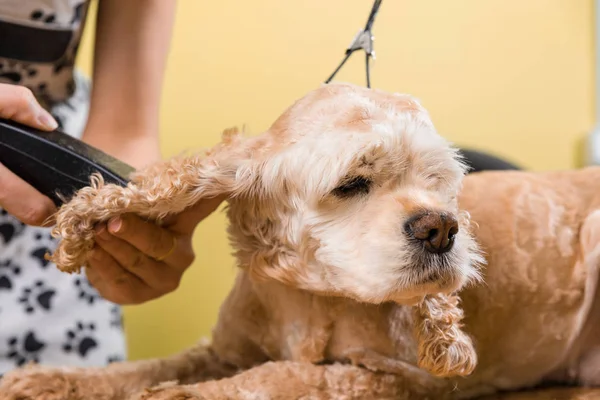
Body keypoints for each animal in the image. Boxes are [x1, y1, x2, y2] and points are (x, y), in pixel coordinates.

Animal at [1, 83, 600, 398]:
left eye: (437, 183)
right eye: (352, 183)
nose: (443, 230)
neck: (306, 292)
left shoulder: (388, 378)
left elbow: (275, 375)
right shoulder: (222, 350)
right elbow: (140, 369)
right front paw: (43, 378)